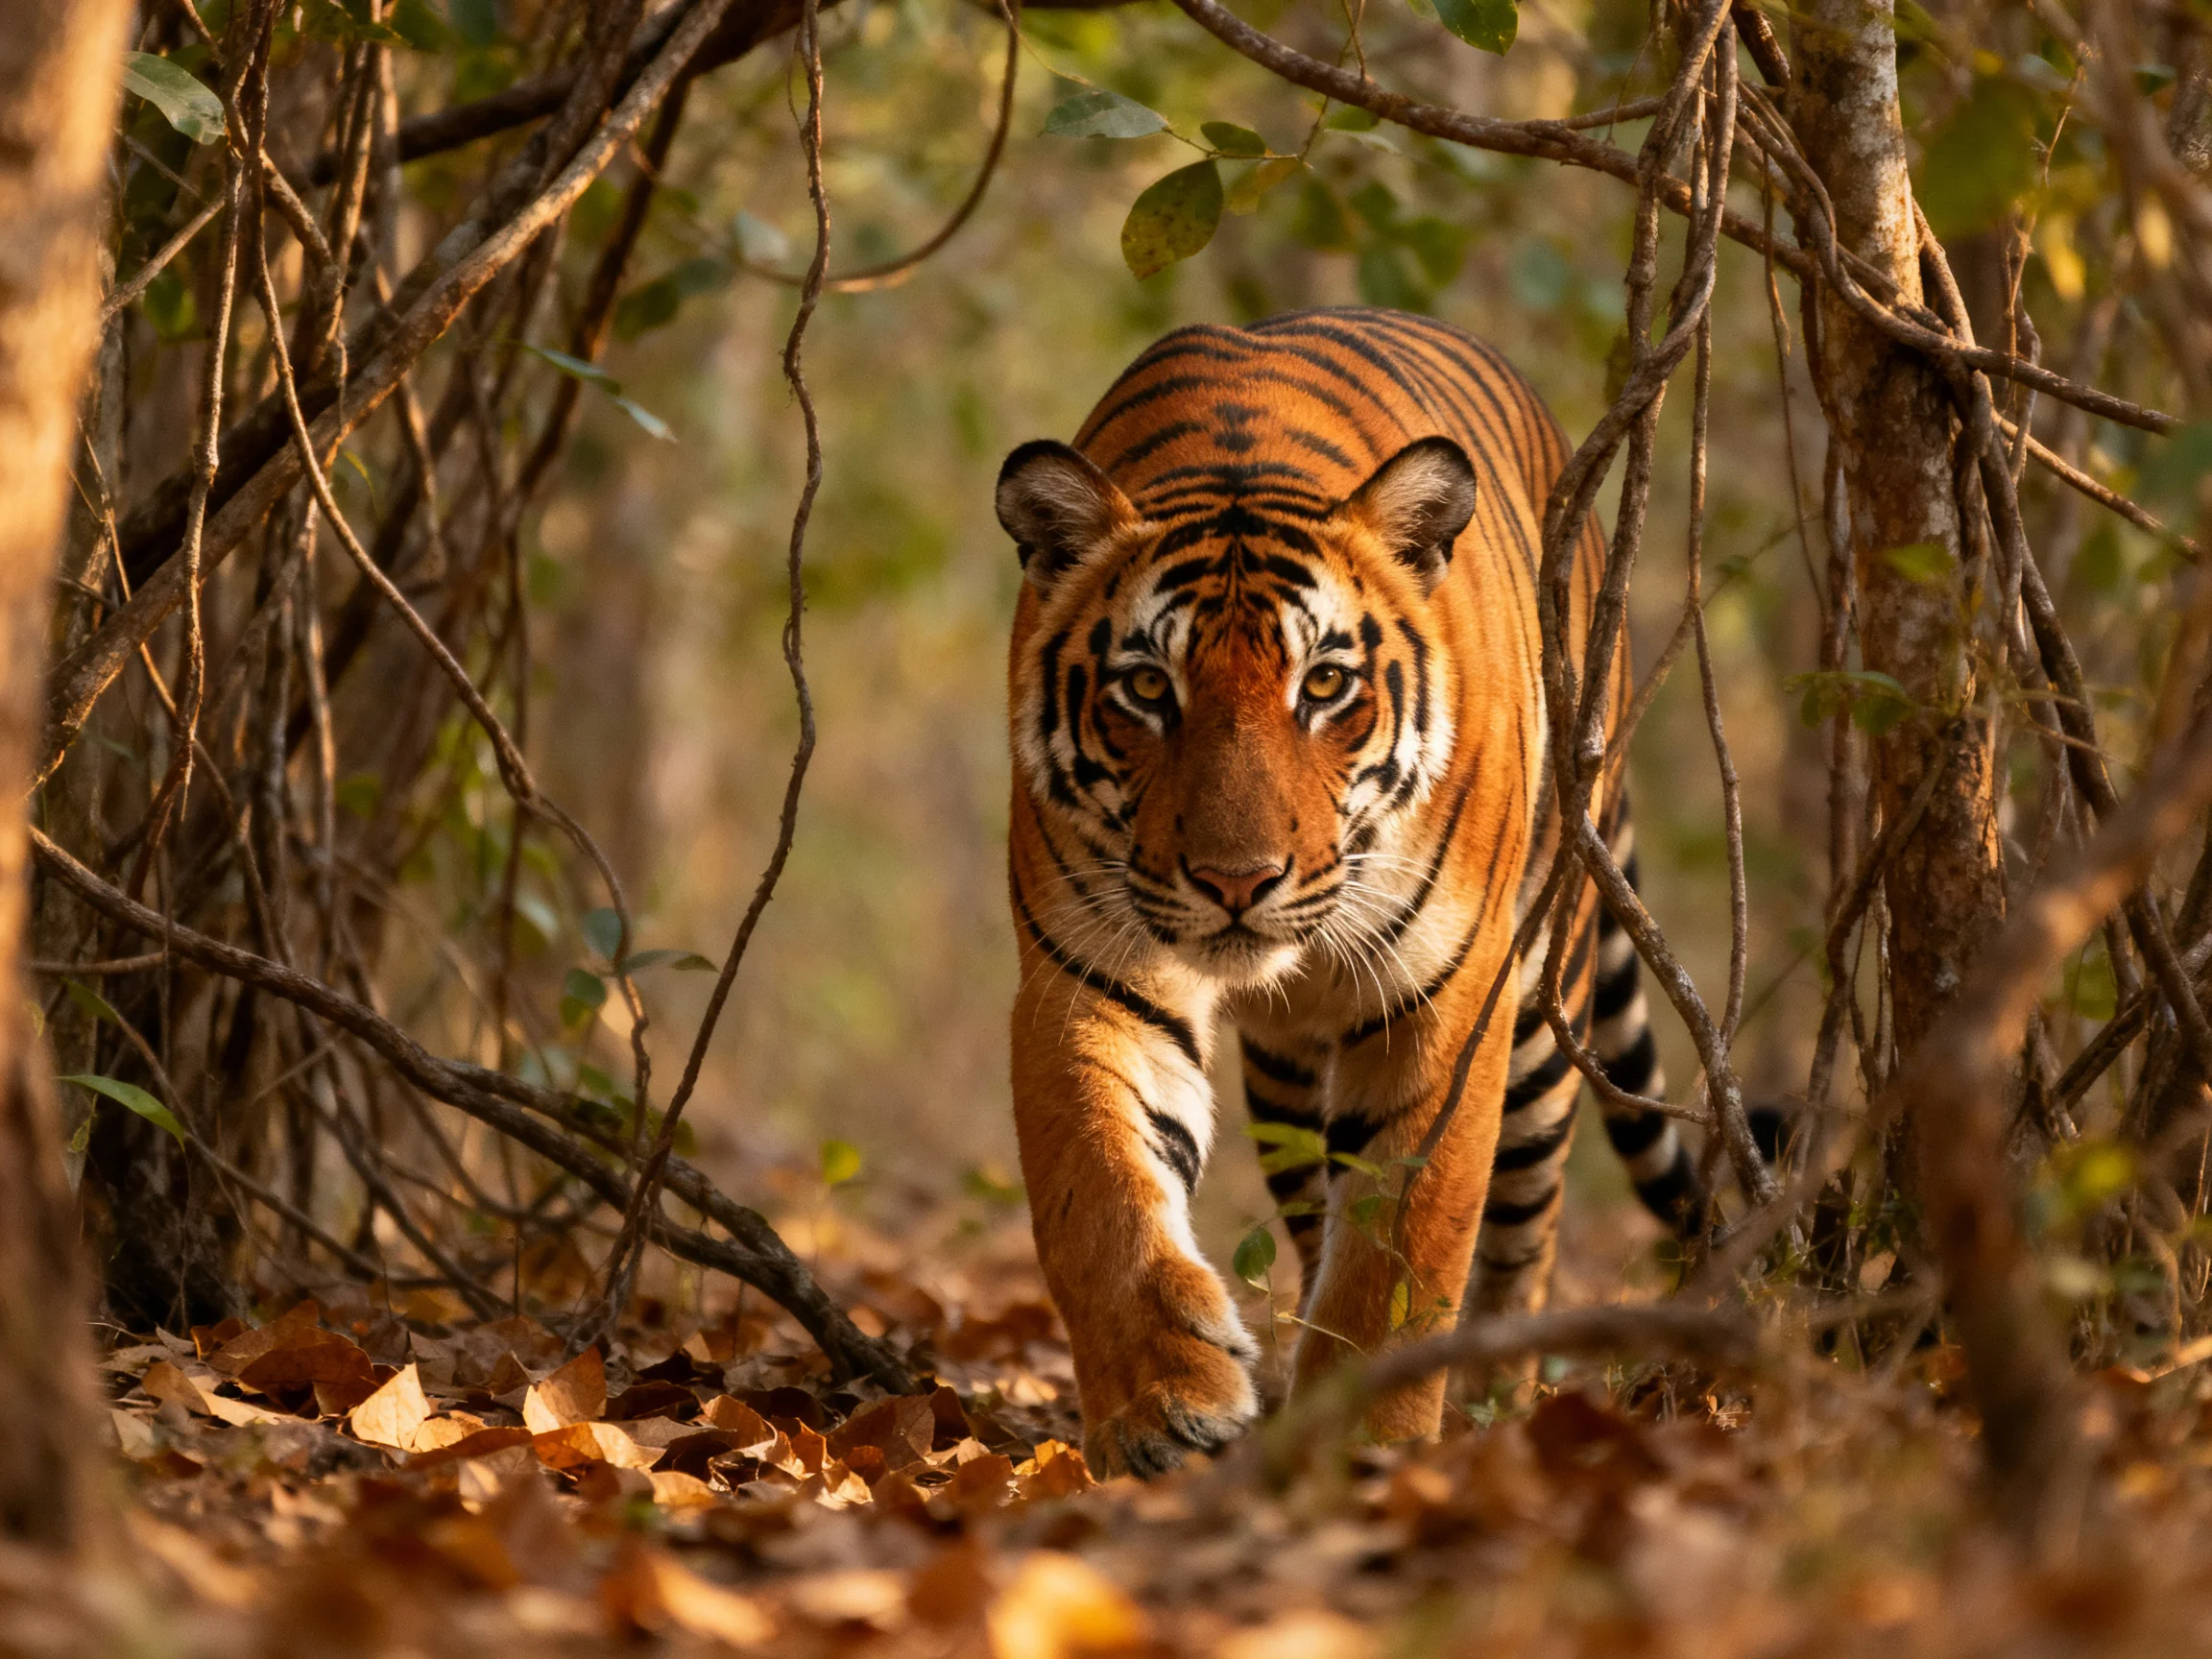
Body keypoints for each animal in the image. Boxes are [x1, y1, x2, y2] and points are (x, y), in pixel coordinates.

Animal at [996, 306, 1698, 1479]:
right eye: (1147, 688)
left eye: (1323, 684)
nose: (1236, 880)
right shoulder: (1086, 968)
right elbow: (1096, 1189)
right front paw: (1163, 1407)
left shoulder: (1448, 992)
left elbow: (1410, 1232)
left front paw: (1361, 1437)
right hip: (1287, 1069)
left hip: (1546, 1009)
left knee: (1524, 1226)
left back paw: (1494, 1403)